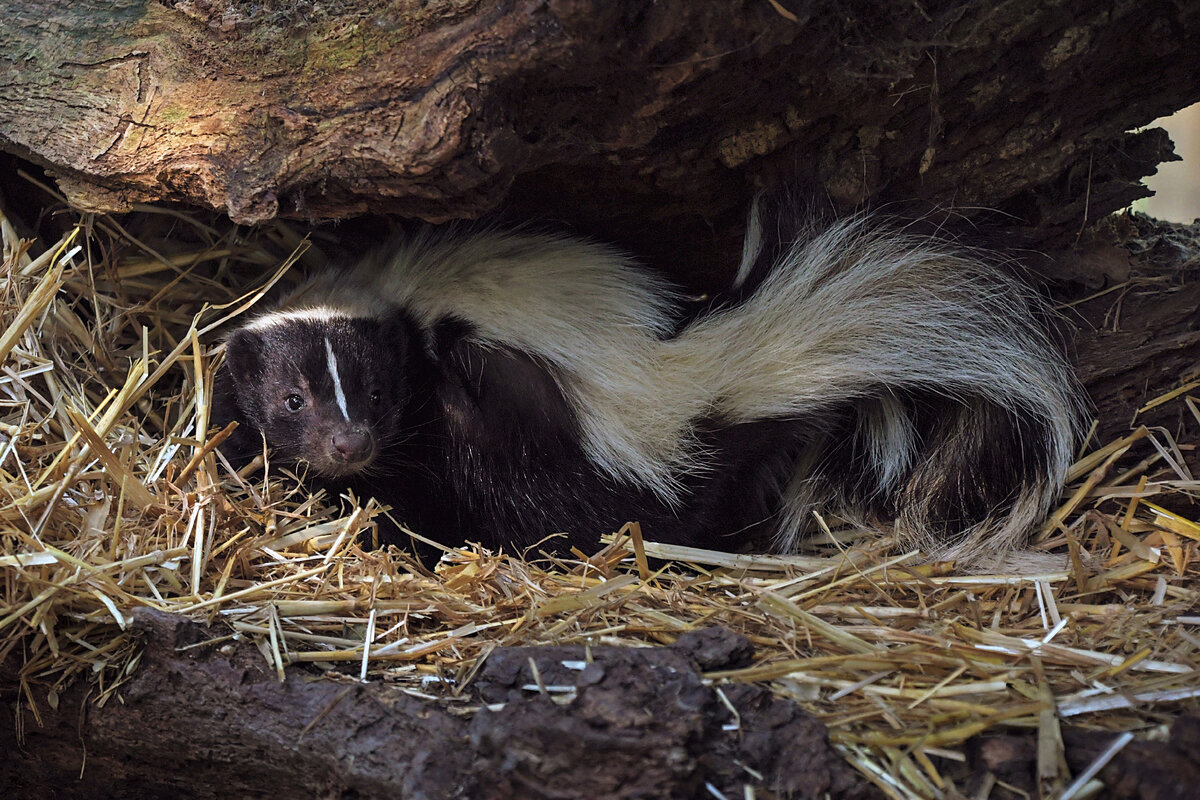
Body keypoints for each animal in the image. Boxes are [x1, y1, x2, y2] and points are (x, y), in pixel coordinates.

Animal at [213, 196, 1089, 566]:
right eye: (292, 399)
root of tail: (688, 376)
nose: (348, 444)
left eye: (378, 395)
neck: (383, 293)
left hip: (533, 438)